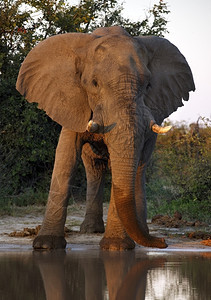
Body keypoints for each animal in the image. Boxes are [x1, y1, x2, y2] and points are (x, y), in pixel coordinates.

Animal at [15, 25, 195, 251]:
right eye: (94, 83)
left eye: (147, 85)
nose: (163, 242)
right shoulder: (73, 102)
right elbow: (66, 157)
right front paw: (46, 246)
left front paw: (116, 247)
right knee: (94, 169)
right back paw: (91, 230)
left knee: (139, 169)